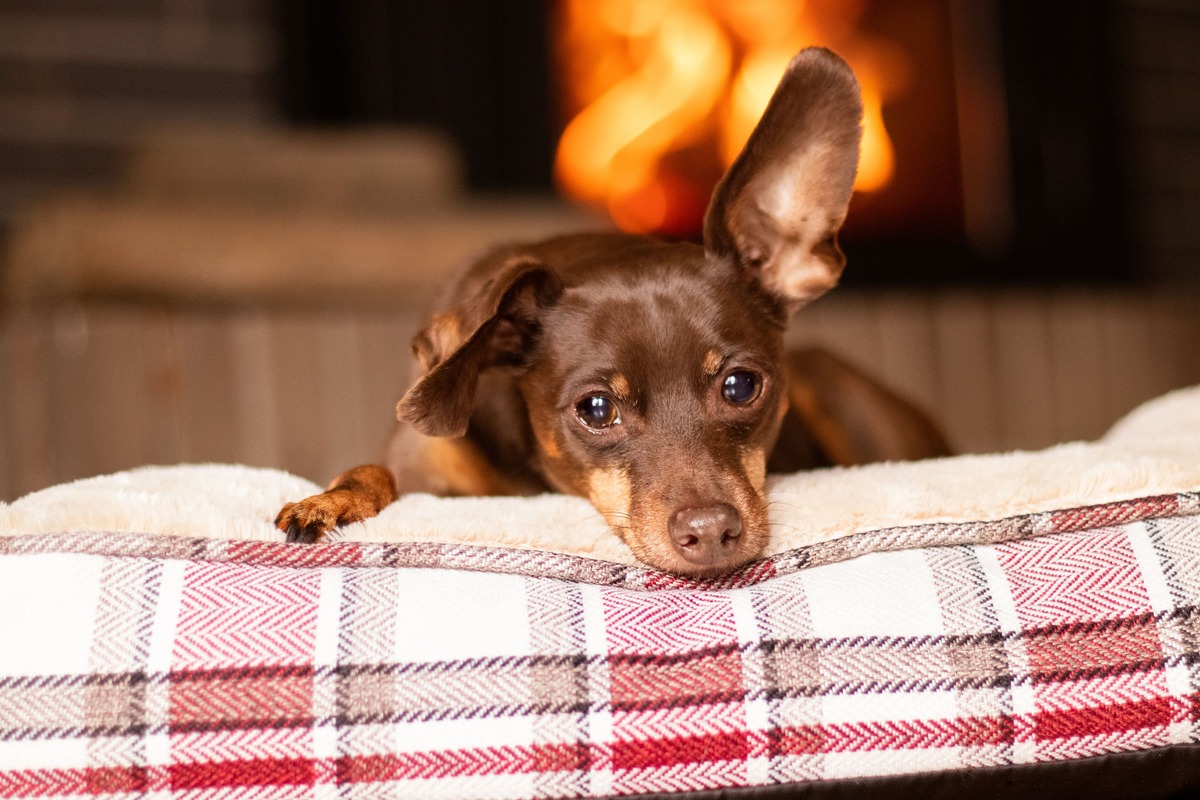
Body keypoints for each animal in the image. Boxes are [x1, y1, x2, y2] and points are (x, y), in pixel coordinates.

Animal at [274, 48, 945, 575]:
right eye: (596, 409)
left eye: (741, 386)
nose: (711, 533)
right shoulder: (424, 472)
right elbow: (372, 472)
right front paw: (332, 501)